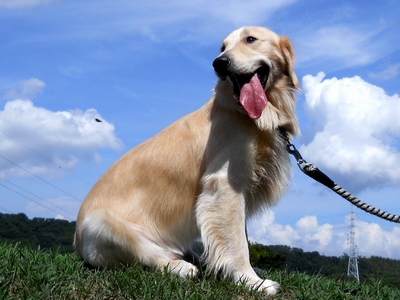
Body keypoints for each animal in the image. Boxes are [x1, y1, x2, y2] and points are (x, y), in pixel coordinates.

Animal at [76, 26, 300, 296]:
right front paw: (250, 280)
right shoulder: (226, 185)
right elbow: (238, 242)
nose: (219, 63)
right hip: (99, 223)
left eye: (250, 39)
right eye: (222, 47)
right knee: (153, 255)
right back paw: (181, 267)